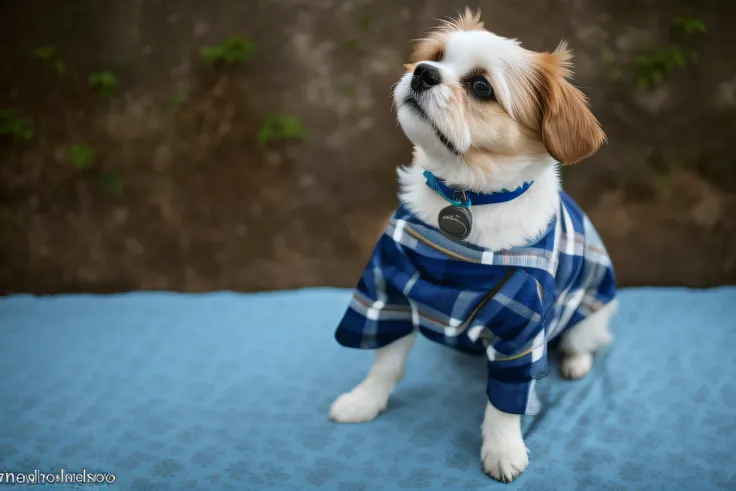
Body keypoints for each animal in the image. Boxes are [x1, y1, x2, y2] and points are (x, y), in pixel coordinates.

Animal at [326, 7, 616, 484]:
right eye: (436, 56)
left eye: (481, 87)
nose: (423, 73)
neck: (465, 197)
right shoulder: (388, 292)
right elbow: (385, 362)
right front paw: (364, 401)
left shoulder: (522, 328)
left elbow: (505, 402)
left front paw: (502, 449)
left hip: (589, 313)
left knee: (583, 341)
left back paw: (575, 362)